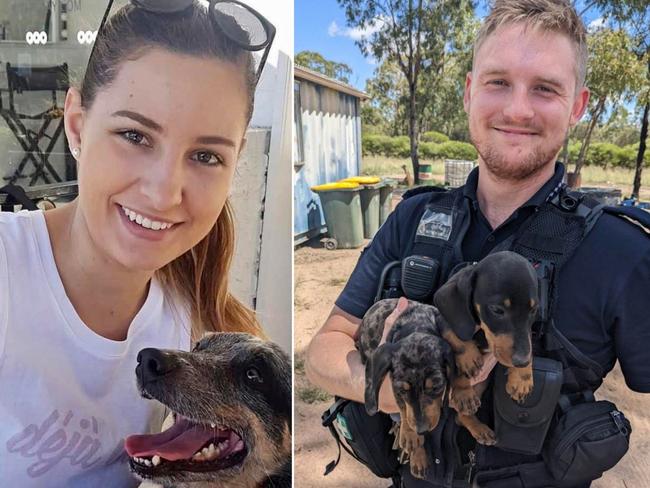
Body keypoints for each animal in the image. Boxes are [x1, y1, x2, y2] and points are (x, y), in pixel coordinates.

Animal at [354, 300, 450, 478]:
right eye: (402, 390)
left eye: (436, 387)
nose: (421, 430)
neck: (415, 322)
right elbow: (404, 408)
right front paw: (412, 440)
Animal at [430, 252, 536, 416]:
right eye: (497, 310)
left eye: (533, 310)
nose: (522, 362)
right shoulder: (443, 321)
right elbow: (457, 338)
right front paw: (464, 390)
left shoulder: (527, 332)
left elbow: (528, 339)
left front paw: (522, 377)